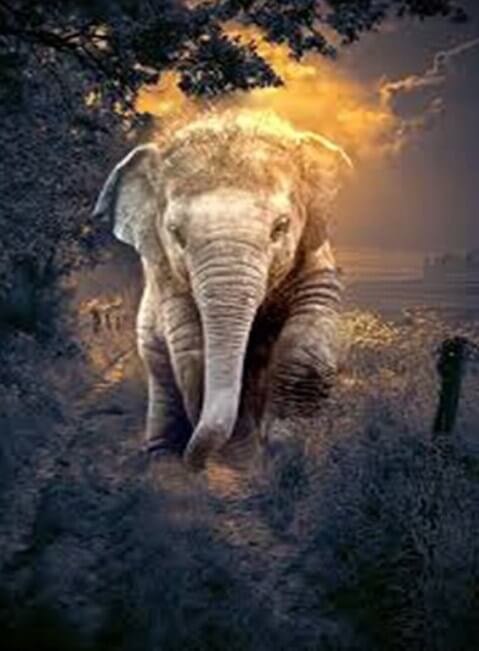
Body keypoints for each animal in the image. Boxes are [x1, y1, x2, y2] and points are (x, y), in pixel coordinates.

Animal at [94, 110, 348, 470]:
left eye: (280, 227)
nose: (196, 463)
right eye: (175, 233)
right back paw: (162, 460)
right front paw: (247, 462)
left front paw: (288, 450)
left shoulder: (315, 258)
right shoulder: (164, 274)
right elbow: (192, 352)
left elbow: (307, 344)